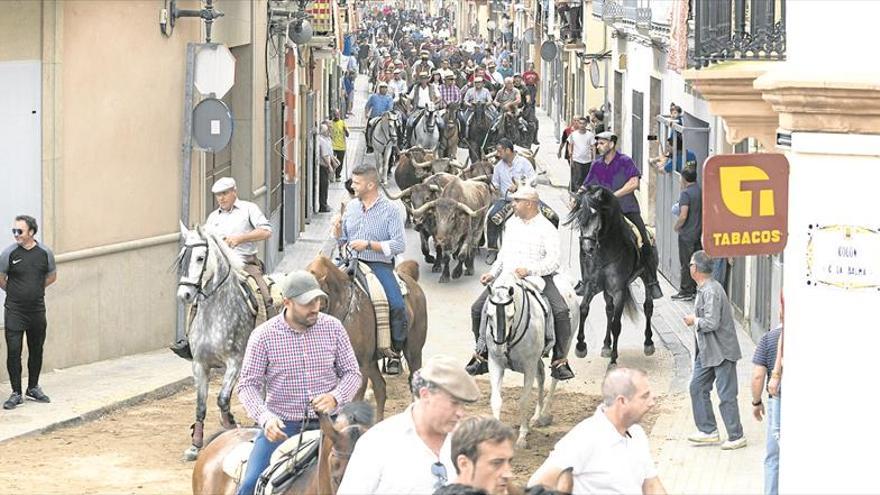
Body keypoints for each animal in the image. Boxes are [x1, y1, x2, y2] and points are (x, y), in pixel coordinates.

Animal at [175, 223, 276, 464]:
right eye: (182, 257)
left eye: (200, 258)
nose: (185, 294)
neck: (215, 314)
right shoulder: (200, 364)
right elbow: (201, 405)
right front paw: (195, 445)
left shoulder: (235, 362)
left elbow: (222, 399)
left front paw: (231, 423)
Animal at [484, 272, 580, 450]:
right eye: (488, 315)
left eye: (510, 316)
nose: (500, 347)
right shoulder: (495, 363)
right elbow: (496, 399)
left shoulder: (528, 366)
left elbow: (523, 401)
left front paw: (522, 437)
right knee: (541, 375)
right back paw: (536, 416)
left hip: (566, 344)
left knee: (554, 377)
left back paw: (544, 415)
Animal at [564, 184, 652, 366]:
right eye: (579, 217)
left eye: (595, 214)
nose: (587, 248)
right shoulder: (592, 285)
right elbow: (584, 309)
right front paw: (581, 346)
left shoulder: (619, 290)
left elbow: (616, 325)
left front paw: (613, 358)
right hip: (607, 291)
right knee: (608, 311)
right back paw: (606, 345)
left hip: (646, 277)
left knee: (648, 306)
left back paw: (648, 343)